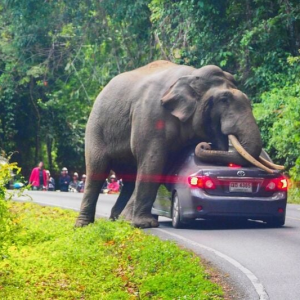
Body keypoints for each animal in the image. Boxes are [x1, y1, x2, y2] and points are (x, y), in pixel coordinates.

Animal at [75, 59, 284, 229]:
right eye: (224, 99)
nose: (205, 144)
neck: (192, 75)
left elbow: (162, 166)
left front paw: (134, 222)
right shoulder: (151, 115)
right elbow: (153, 161)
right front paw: (144, 224)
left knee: (128, 178)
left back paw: (117, 219)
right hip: (96, 127)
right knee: (97, 169)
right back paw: (84, 225)